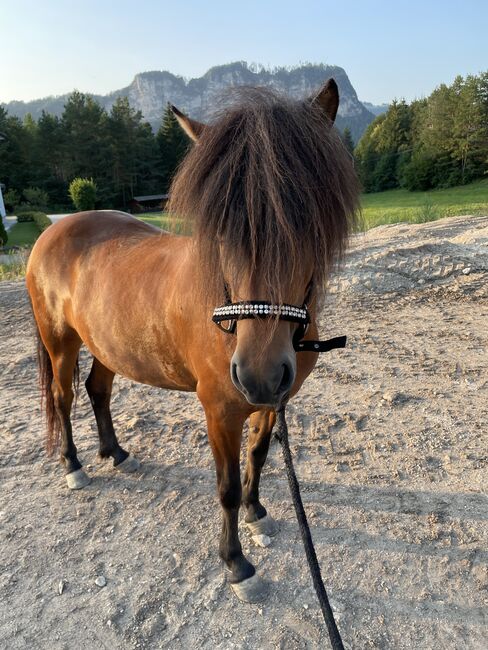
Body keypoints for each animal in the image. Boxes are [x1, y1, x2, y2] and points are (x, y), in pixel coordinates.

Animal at [27, 81, 358, 604]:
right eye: (221, 230)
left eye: (306, 221)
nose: (259, 372)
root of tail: (53, 230)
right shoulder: (220, 410)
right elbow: (225, 487)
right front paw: (237, 564)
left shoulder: (273, 401)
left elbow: (258, 455)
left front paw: (257, 513)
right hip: (60, 343)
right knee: (62, 399)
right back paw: (73, 467)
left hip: (107, 346)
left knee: (97, 390)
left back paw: (116, 454)